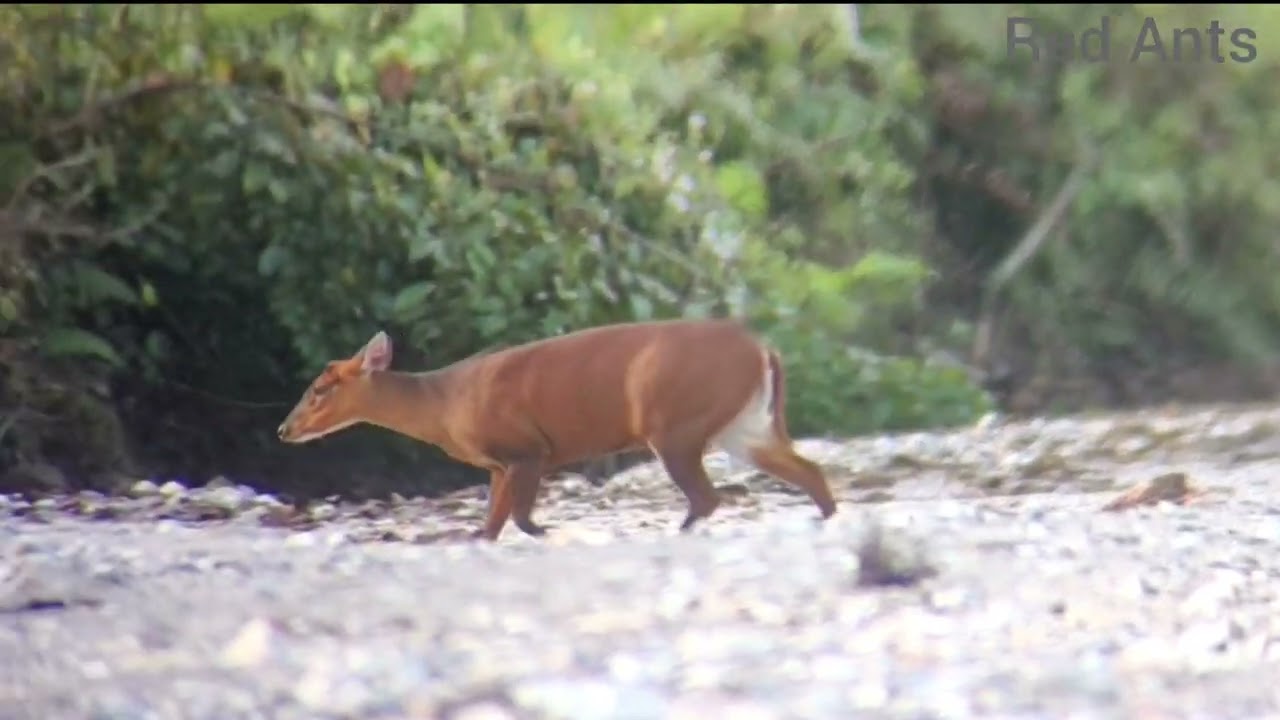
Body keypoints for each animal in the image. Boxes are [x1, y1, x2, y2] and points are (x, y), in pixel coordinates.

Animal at [276, 318, 838, 541]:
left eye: (320, 388)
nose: (284, 429)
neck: (445, 405)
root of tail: (764, 349)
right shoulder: (500, 463)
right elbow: (493, 522)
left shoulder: (527, 448)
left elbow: (519, 517)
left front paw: (547, 531)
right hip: (744, 424)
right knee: (807, 469)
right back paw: (826, 518)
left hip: (675, 421)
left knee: (706, 495)